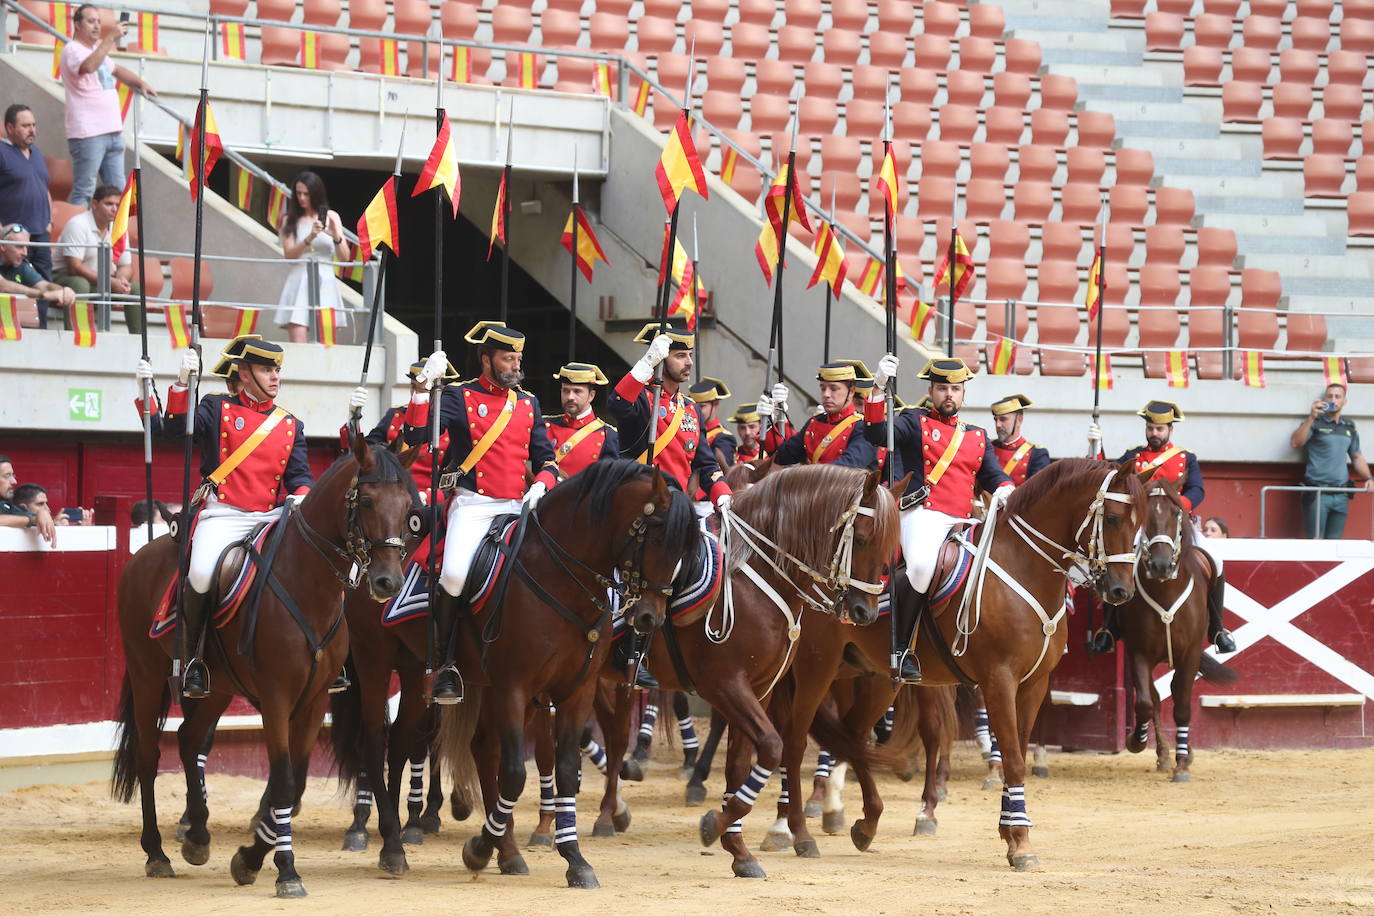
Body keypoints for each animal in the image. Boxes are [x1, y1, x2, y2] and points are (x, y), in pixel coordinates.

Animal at [109, 433, 412, 900]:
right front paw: (284, 870)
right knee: (148, 753)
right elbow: (284, 781)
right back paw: (156, 852)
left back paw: (198, 836)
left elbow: (296, 782)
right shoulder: (275, 698)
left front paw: (251, 858)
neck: (308, 584)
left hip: (216, 687)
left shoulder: (314, 700)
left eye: (409, 507)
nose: (388, 582)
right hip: (147, 672)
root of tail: (146, 552)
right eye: (366, 501)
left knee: (189, 738)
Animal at [590, 469, 901, 878]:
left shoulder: (759, 688)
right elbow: (771, 748)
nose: (866, 612)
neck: (755, 580)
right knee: (608, 736)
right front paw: (716, 825)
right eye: (862, 539)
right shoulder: (725, 685)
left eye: (890, 547)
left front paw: (737, 848)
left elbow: (741, 763)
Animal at [884, 461, 1154, 873]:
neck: (1024, 566)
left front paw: (1011, 833)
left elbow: (1020, 752)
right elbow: (1011, 756)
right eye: (1111, 518)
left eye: (1141, 524)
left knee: (931, 732)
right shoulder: (999, 681)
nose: (1122, 592)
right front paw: (1022, 842)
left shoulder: (1033, 684)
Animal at [1121, 480, 1242, 780]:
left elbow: (1184, 705)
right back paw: (1163, 754)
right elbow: (1145, 702)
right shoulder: (1138, 652)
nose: (1161, 565)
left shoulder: (1190, 654)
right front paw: (1137, 740)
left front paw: (1183, 762)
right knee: (1155, 698)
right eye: (1145, 517)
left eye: (1176, 513)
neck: (1165, 590)